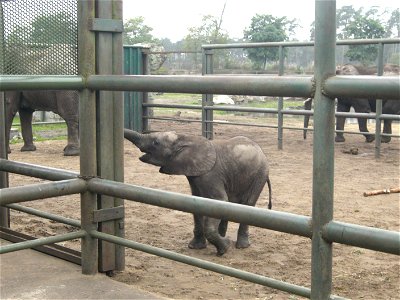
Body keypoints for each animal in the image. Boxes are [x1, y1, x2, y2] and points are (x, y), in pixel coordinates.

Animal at [123, 127, 272, 256]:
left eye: (156, 142)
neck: (185, 139)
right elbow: (197, 202)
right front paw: (195, 247)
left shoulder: (210, 174)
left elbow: (219, 200)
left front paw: (224, 248)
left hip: (260, 174)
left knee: (248, 203)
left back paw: (241, 246)